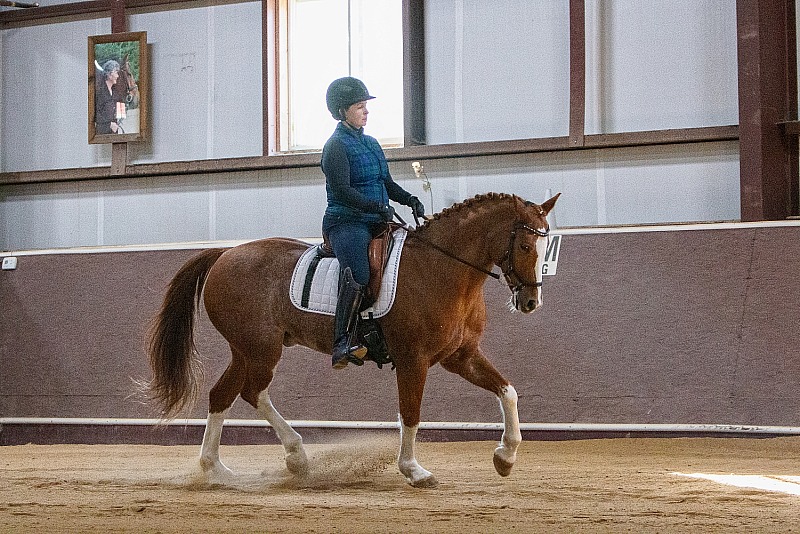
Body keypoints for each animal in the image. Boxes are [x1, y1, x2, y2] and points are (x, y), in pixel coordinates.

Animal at [150, 193, 560, 490]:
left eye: (545, 249)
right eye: (526, 247)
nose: (530, 302)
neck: (443, 268)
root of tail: (226, 253)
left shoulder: (462, 356)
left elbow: (508, 391)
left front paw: (505, 457)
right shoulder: (413, 360)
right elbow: (410, 413)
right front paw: (414, 470)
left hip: (245, 350)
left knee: (223, 394)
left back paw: (217, 471)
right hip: (261, 349)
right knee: (253, 392)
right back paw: (296, 457)